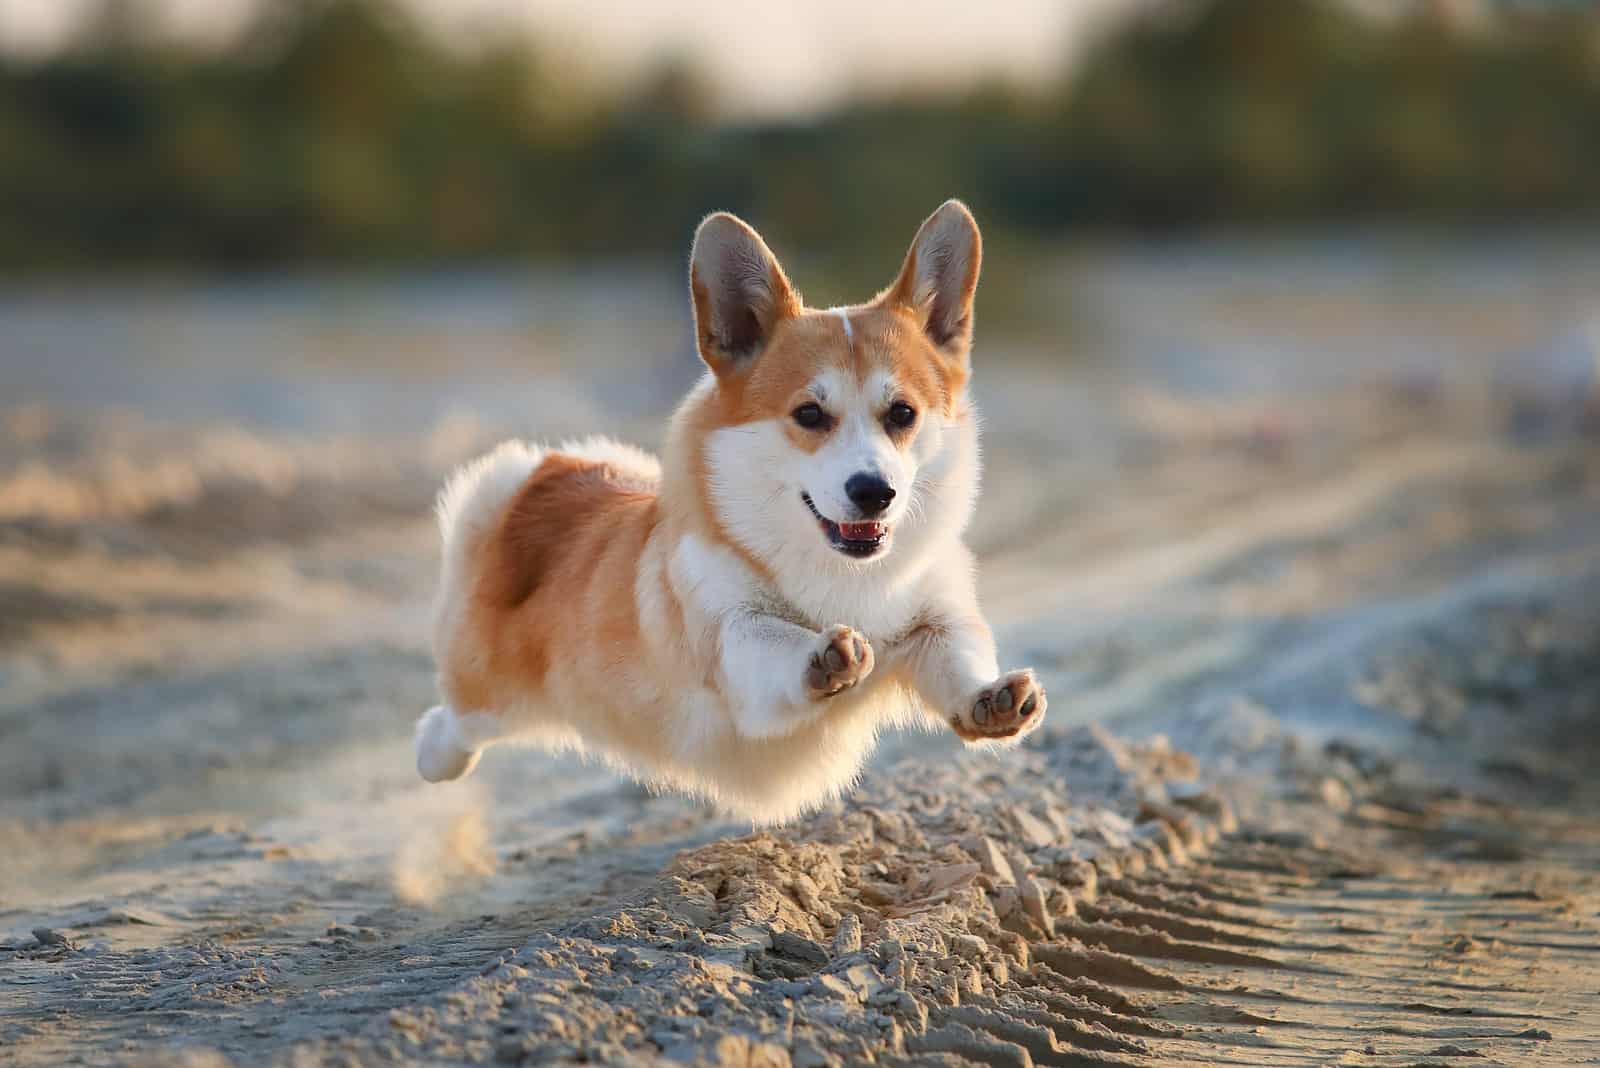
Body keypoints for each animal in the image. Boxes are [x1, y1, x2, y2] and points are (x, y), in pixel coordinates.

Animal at [412, 202, 1043, 824]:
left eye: (903, 413)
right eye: (810, 414)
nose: (874, 492)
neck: (847, 575)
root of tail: (549, 474)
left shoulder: (937, 617)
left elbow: (958, 657)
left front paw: (989, 699)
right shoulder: (729, 637)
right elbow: (774, 641)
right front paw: (820, 657)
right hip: (491, 692)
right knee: (453, 721)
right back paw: (434, 756)